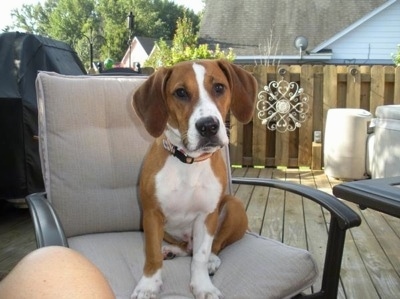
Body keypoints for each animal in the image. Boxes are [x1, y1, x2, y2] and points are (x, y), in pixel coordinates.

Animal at [130, 59, 256, 299]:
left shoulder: (207, 215)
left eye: (219, 87)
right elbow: (151, 254)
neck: (188, 161)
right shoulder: (151, 214)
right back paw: (170, 250)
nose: (208, 126)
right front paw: (149, 285)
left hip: (233, 206)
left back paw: (212, 261)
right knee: (181, 248)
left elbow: (201, 256)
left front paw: (202, 286)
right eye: (180, 92)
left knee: (214, 246)